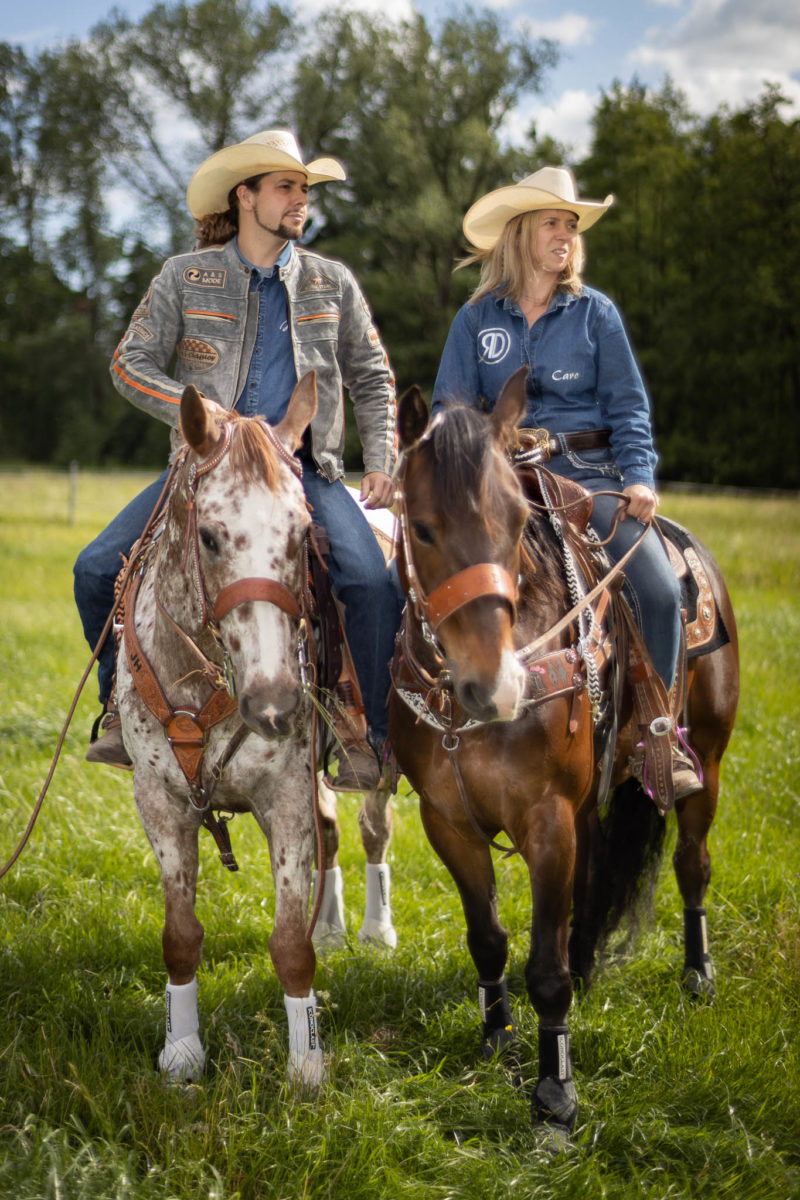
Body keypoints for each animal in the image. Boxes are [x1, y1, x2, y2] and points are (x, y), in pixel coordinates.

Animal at [115, 374, 326, 1089]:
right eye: (209, 536)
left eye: (302, 533)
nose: (275, 705)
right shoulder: (160, 802)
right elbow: (180, 936)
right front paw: (182, 1054)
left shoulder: (288, 798)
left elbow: (291, 944)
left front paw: (306, 1063)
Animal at [388, 369, 738, 1137]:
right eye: (422, 526)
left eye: (519, 524)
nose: (495, 687)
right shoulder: (448, 823)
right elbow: (489, 937)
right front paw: (498, 1038)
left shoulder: (546, 818)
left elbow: (542, 966)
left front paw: (555, 1095)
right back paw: (588, 965)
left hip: (707, 758)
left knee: (692, 862)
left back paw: (698, 973)